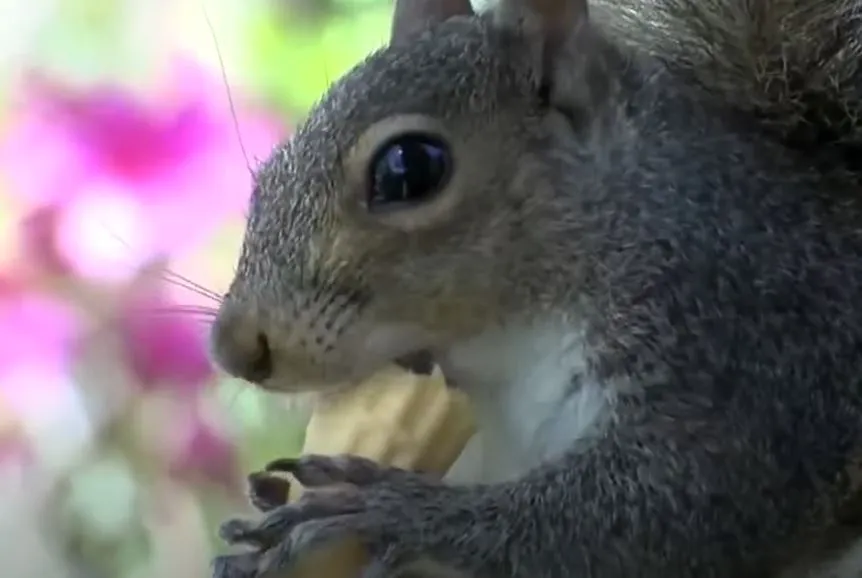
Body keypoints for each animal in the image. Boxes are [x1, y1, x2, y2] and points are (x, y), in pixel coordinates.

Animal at [208, 0, 862, 572]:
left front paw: (393, 511)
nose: (233, 349)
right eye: (268, 172)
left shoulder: (748, 349)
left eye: (408, 169)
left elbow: (684, 504)